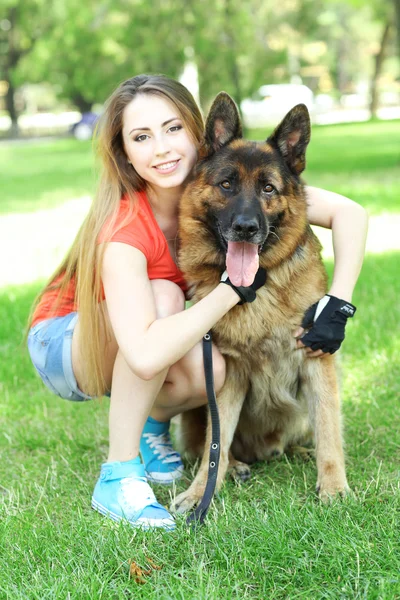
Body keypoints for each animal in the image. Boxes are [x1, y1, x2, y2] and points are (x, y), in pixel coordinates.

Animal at [173, 91, 348, 512]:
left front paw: (334, 486)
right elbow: (214, 444)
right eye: (226, 184)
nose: (246, 228)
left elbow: (329, 429)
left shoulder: (317, 360)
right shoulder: (229, 374)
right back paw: (236, 465)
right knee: (209, 446)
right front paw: (200, 491)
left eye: (268, 189)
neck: (259, 289)